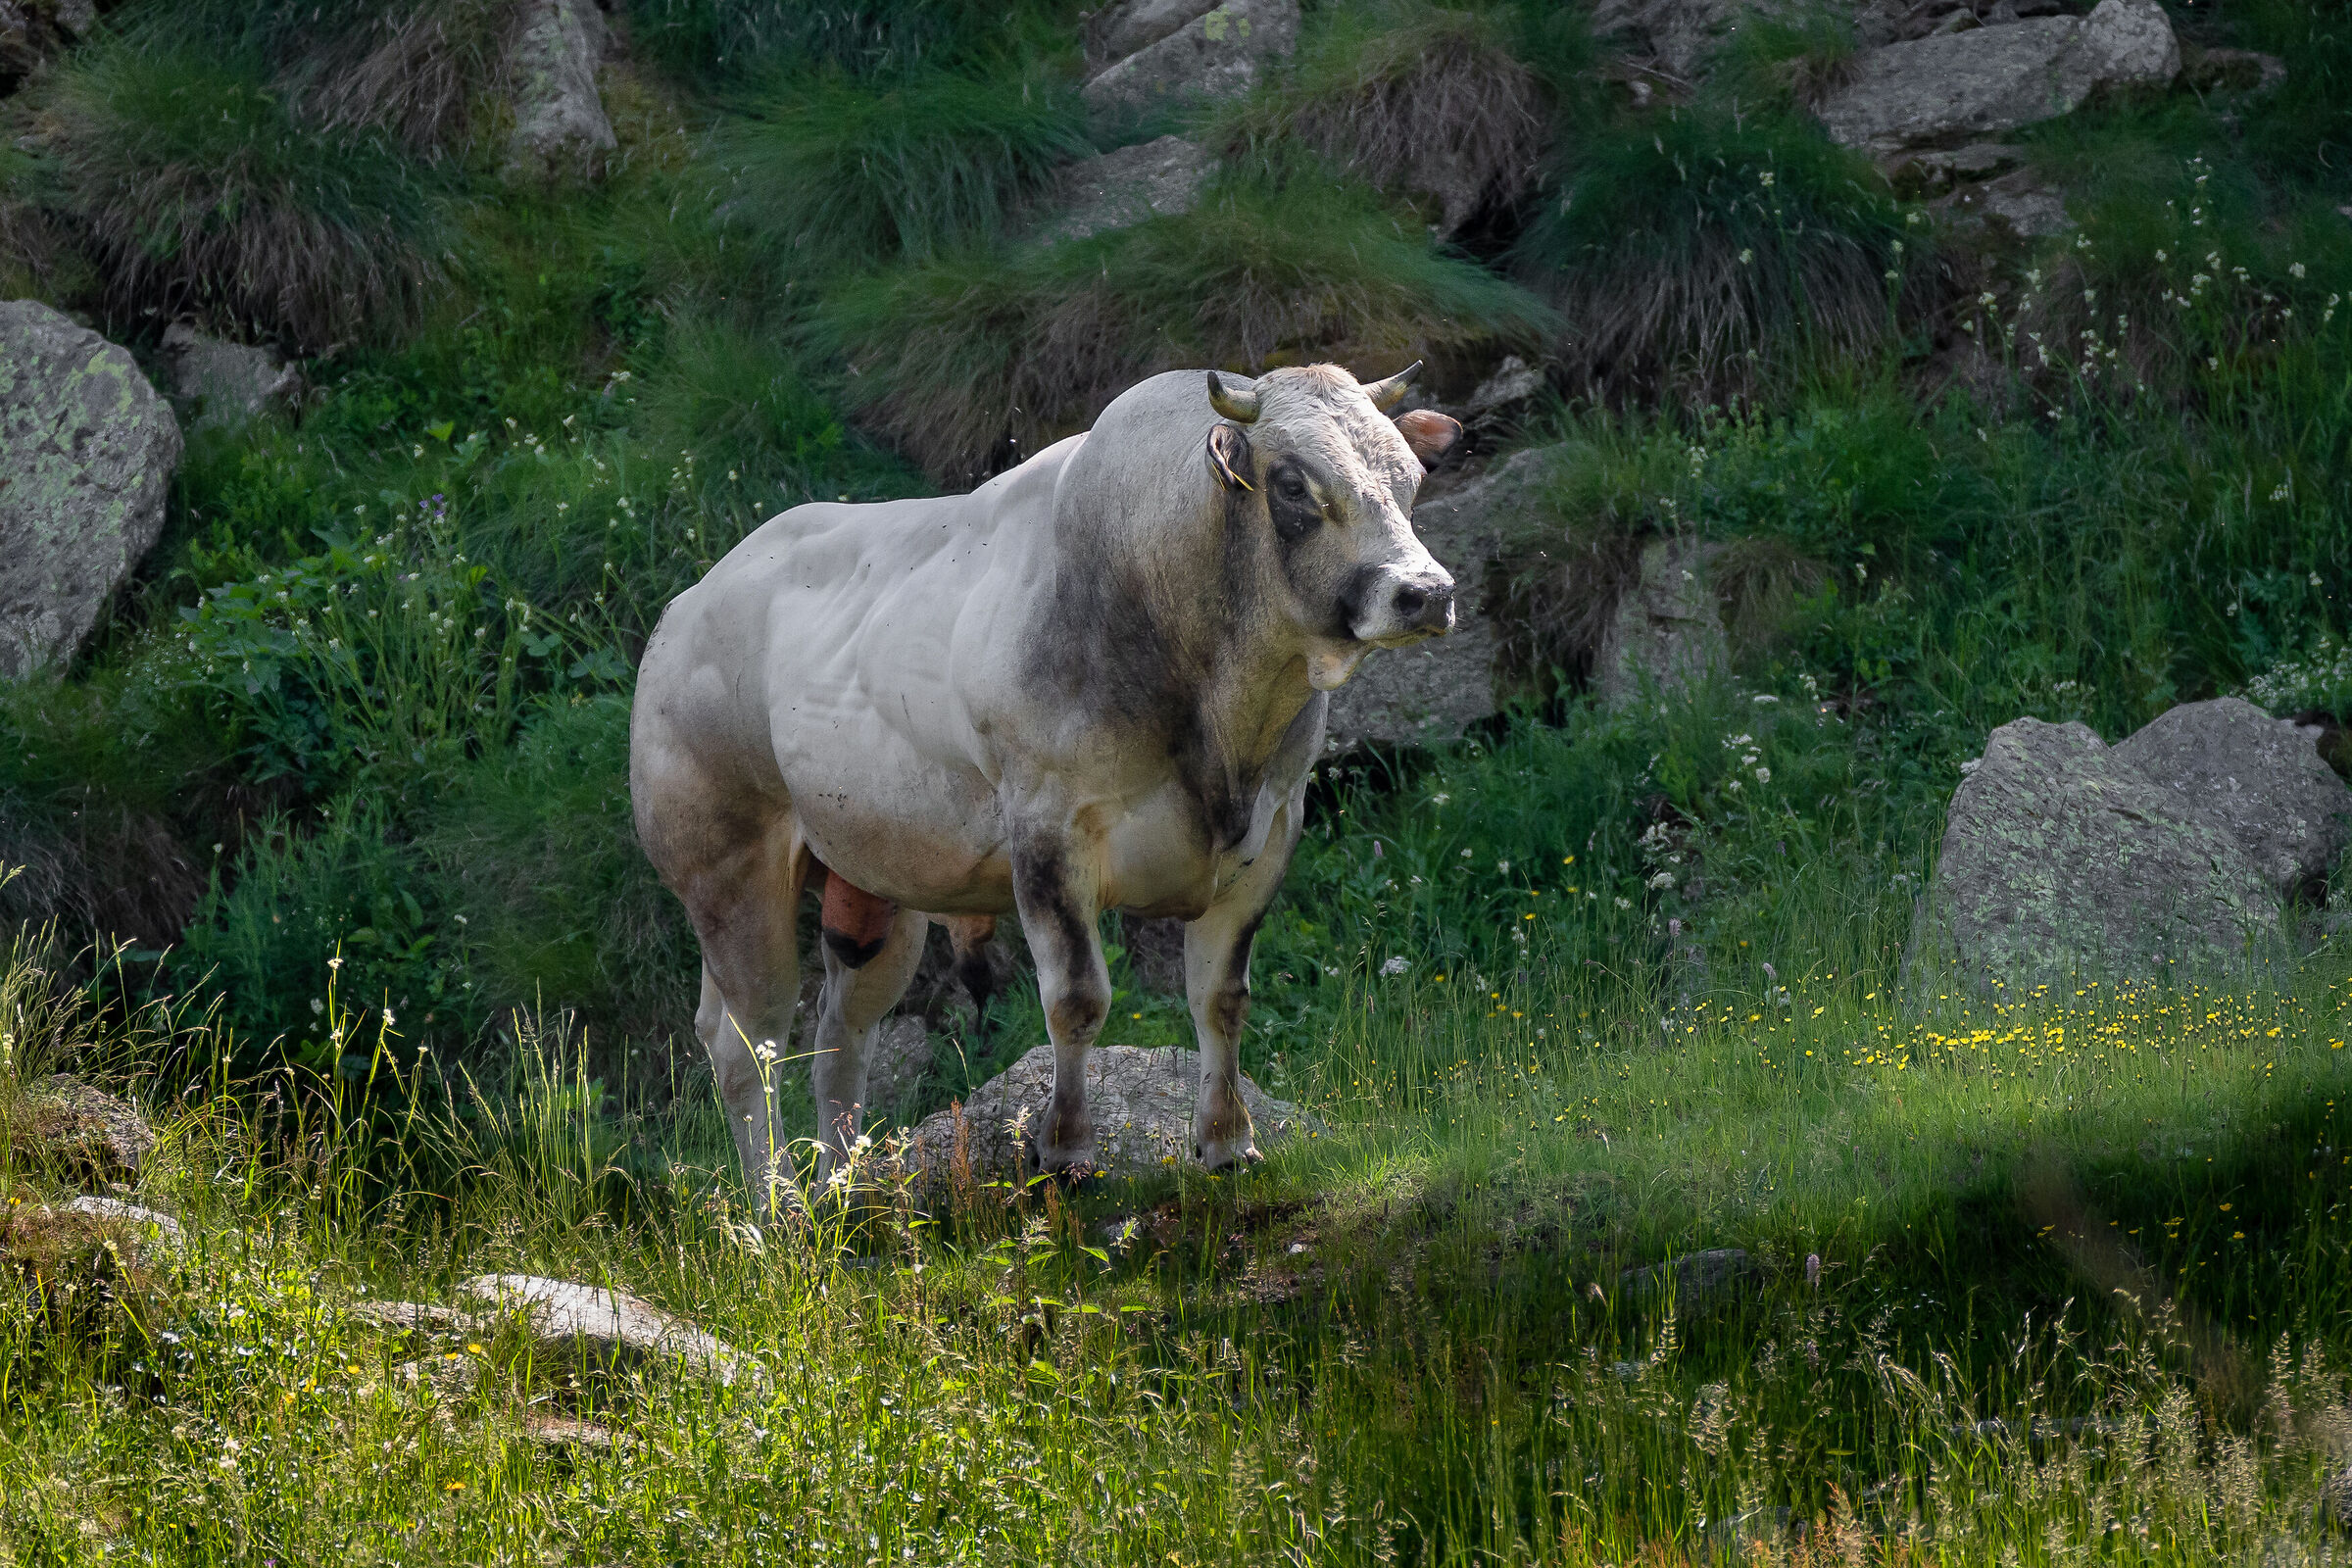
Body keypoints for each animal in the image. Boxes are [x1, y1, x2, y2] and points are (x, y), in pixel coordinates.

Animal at [629, 362, 1461, 1207]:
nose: (1426, 592)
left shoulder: (1271, 829)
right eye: (1294, 484)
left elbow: (1221, 998)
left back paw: (844, 1194)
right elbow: (1078, 998)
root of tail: (688, 604)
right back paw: (775, 1205)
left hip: (871, 887)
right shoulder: (1049, 828)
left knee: (838, 1032)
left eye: (1409, 474)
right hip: (728, 865)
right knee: (752, 1041)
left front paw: (1229, 1145)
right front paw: (1064, 1152)